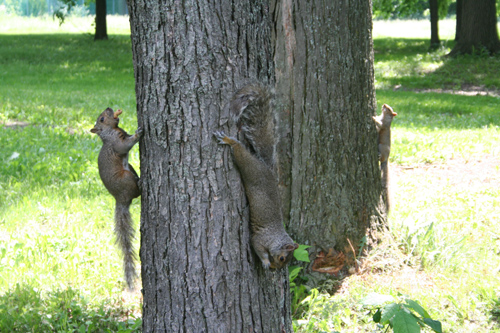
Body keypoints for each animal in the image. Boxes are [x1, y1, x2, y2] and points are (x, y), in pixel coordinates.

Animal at [89, 107, 141, 288]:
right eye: (102, 119)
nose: (110, 108)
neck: (110, 132)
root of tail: (120, 200)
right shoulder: (116, 143)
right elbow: (124, 145)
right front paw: (138, 134)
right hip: (126, 178)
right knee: (136, 192)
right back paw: (141, 183)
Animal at [214, 84, 296, 268]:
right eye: (282, 258)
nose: (274, 269)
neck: (275, 238)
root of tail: (267, 169)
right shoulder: (260, 238)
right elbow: (256, 245)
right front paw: (265, 261)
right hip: (251, 168)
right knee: (240, 152)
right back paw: (229, 140)